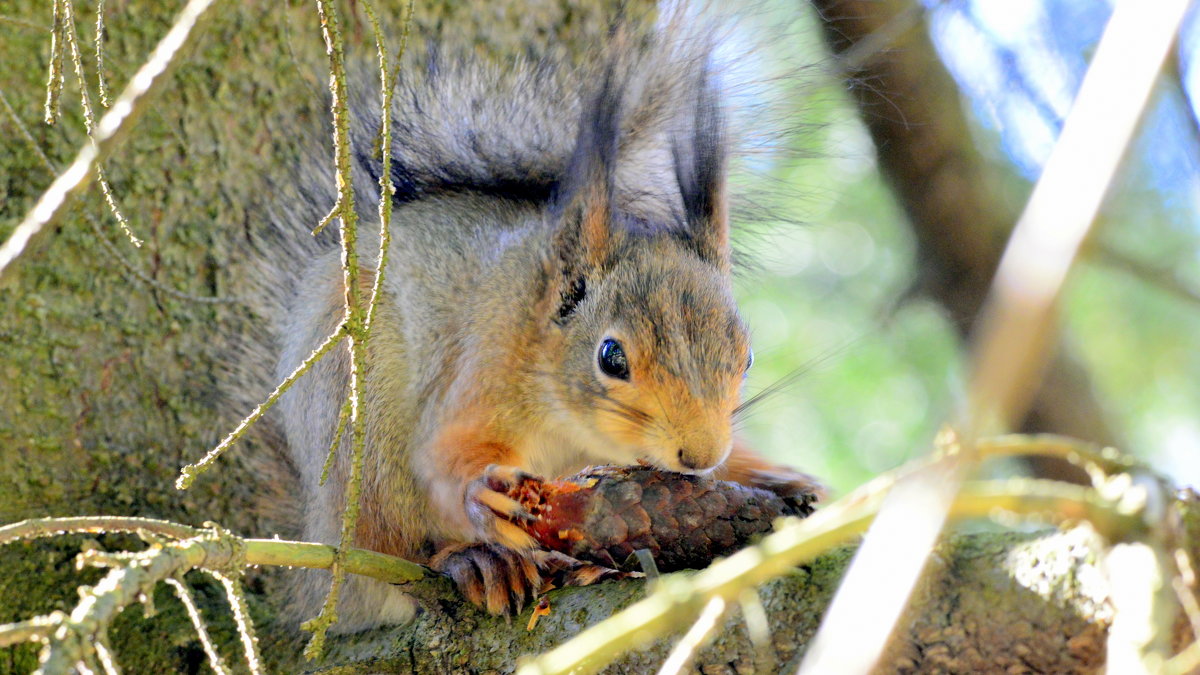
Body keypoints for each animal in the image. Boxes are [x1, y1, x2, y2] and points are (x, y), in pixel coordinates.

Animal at [236, 5, 825, 629]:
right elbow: (445, 454)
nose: (700, 456)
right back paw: (473, 560)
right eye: (611, 357)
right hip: (359, 428)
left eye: (747, 357)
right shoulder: (485, 368)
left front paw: (776, 477)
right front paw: (481, 498)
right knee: (392, 548)